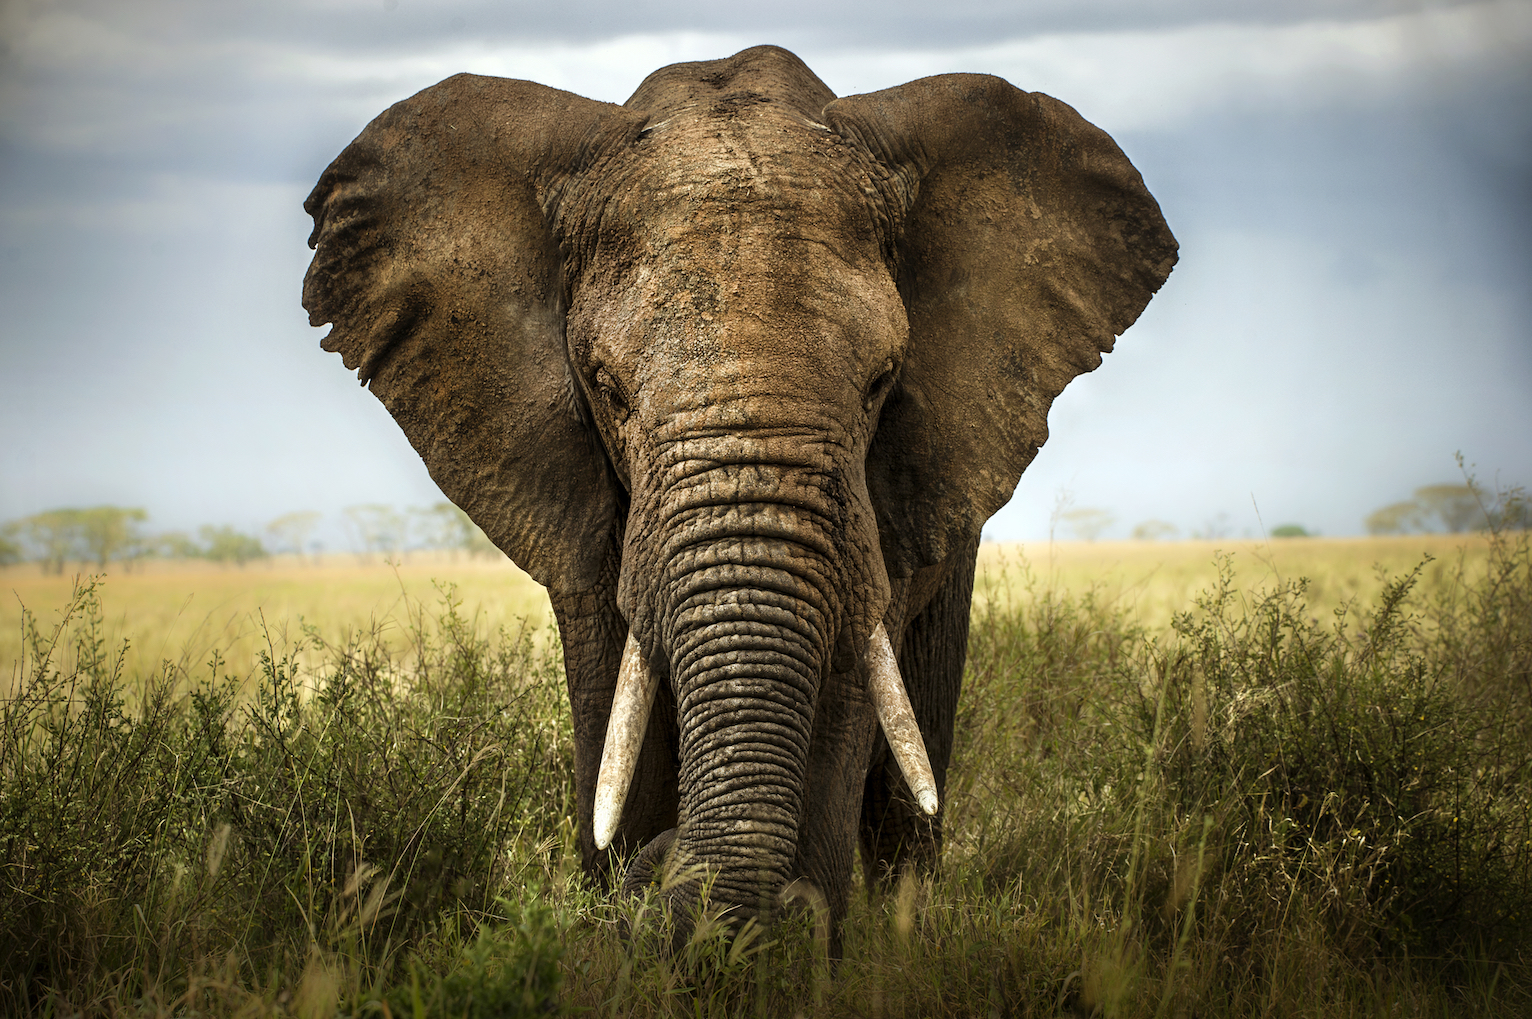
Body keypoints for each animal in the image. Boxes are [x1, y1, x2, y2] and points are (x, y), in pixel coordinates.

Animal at [302, 44, 1175, 949]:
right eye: (608, 390)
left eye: (880, 382)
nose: (664, 868)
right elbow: (614, 708)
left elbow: (845, 693)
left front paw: (788, 944)